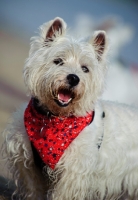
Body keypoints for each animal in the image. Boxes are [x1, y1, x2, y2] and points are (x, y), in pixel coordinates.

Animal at [1, 17, 138, 200]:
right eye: (58, 60)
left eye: (85, 68)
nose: (73, 78)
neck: (54, 118)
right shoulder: (27, 163)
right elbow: (33, 189)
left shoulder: (74, 171)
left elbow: (63, 193)